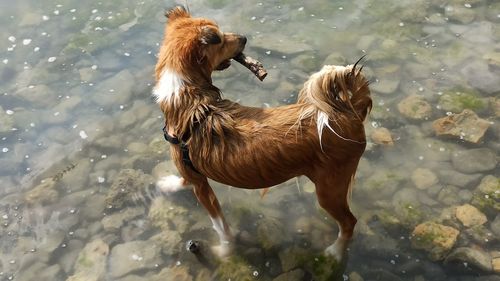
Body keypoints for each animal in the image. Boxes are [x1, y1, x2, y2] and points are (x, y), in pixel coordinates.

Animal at [152, 6, 372, 260]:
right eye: (221, 39)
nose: (245, 38)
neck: (188, 96)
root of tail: (349, 112)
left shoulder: (202, 187)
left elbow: (221, 226)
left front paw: (224, 251)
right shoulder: (192, 173)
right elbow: (183, 179)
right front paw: (168, 184)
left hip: (329, 189)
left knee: (349, 222)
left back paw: (335, 253)